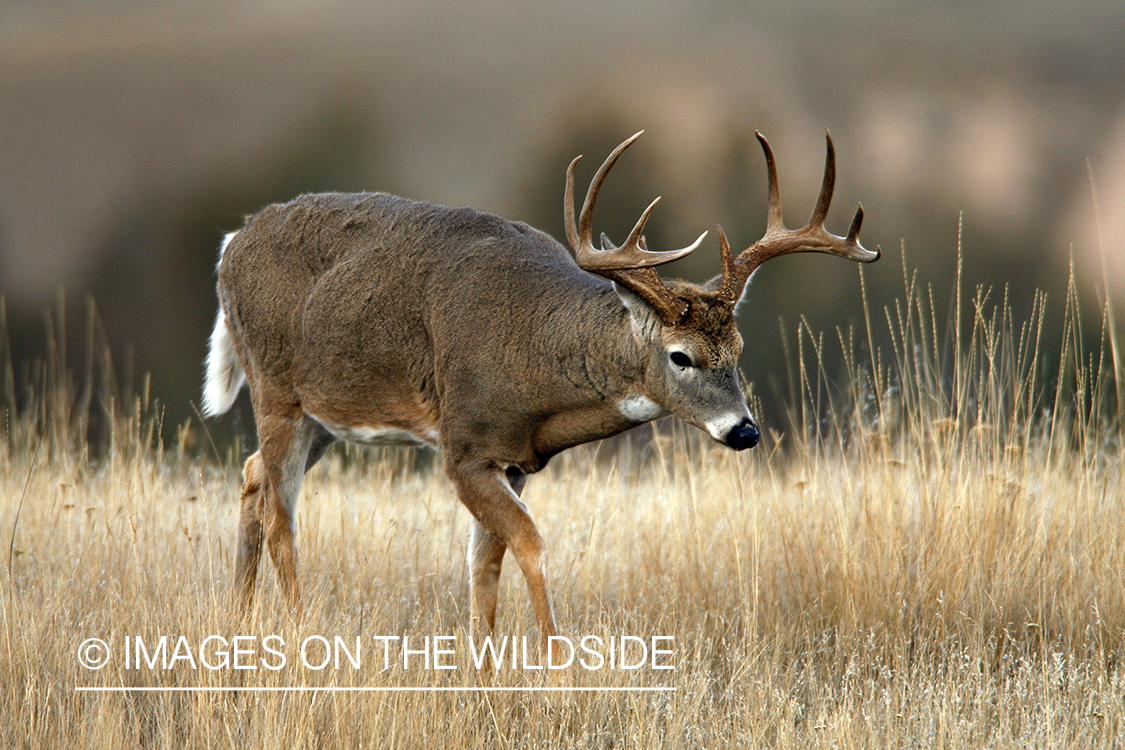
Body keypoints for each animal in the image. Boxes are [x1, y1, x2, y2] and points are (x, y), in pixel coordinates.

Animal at [207, 130, 882, 647]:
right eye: (680, 357)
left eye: (737, 354)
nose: (744, 430)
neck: (531, 355)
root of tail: (231, 244)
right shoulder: (463, 446)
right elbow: (529, 543)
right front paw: (555, 663)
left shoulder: (513, 460)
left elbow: (484, 565)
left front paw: (480, 670)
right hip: (275, 388)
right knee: (280, 515)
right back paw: (298, 632)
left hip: (324, 415)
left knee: (252, 476)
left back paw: (238, 623)